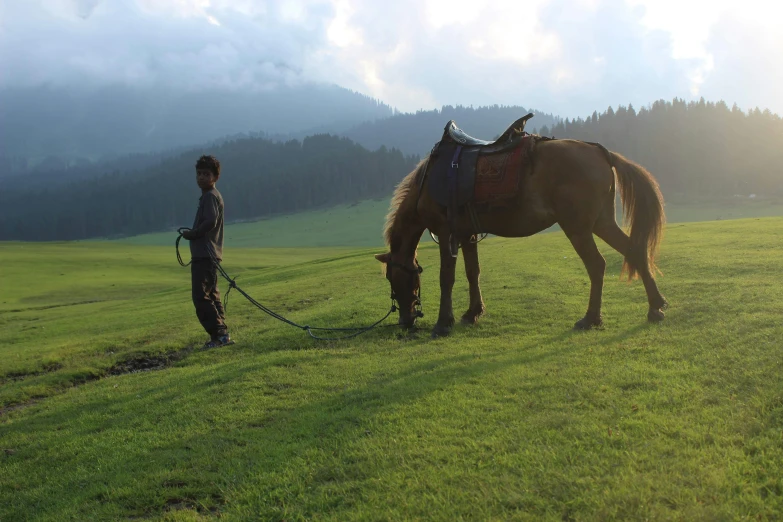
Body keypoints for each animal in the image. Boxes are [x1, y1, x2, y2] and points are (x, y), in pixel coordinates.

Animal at [376, 136, 668, 336]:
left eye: (393, 278)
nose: (405, 320)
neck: (427, 182)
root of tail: (600, 151)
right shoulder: (467, 235)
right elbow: (473, 272)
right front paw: (473, 313)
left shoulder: (447, 232)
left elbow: (446, 278)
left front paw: (442, 323)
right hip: (601, 222)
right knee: (634, 250)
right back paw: (655, 307)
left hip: (578, 227)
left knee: (597, 265)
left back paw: (591, 319)